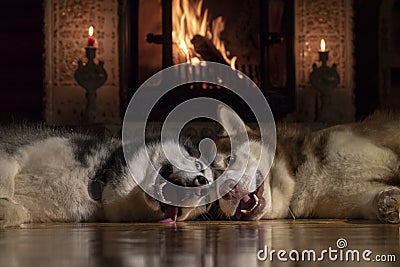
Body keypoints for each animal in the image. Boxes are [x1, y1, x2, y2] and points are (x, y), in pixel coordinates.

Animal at [0, 124, 212, 227]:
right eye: (198, 165)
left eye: (206, 203)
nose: (204, 184)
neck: (98, 181)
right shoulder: (13, 151)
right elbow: (6, 185)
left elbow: (18, 211)